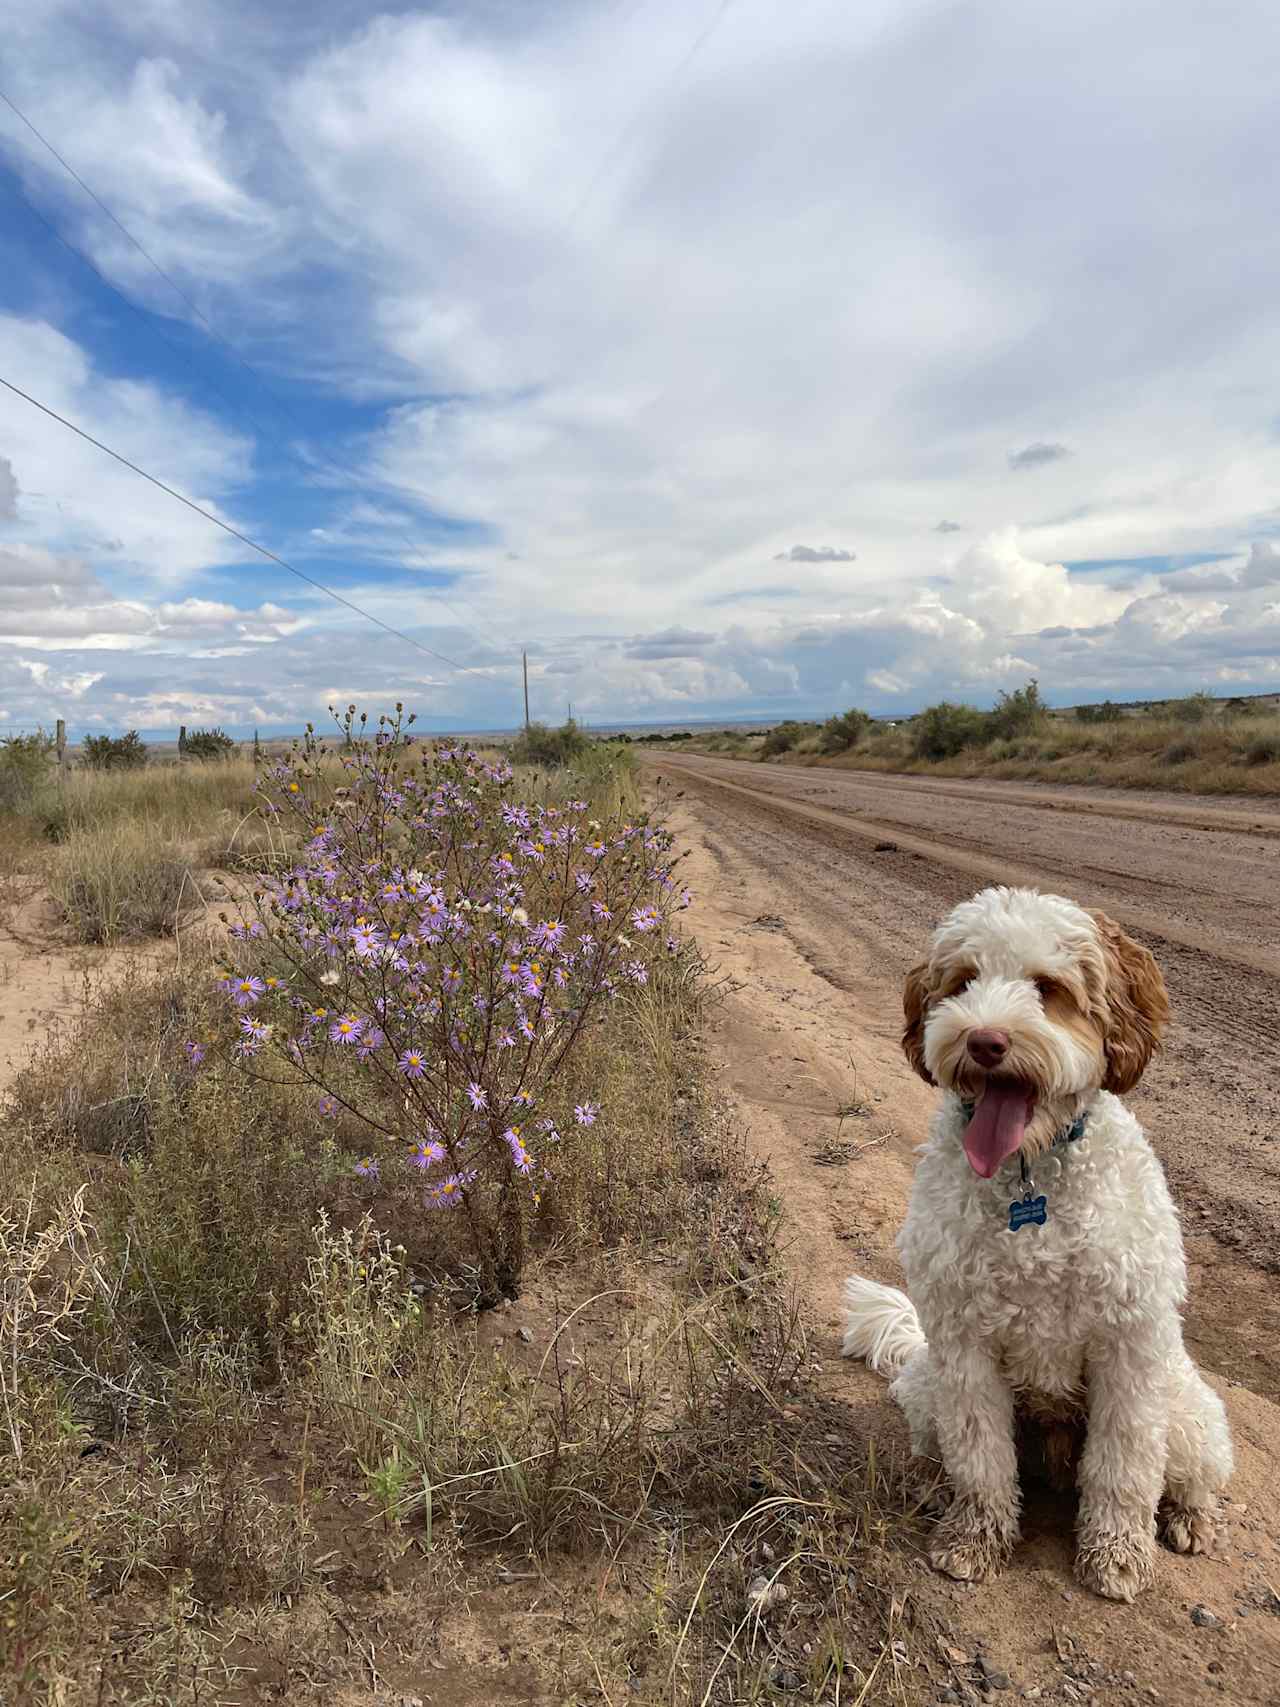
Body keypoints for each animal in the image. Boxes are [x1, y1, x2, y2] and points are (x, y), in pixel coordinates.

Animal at [843, 887, 1235, 1604]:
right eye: (962, 982)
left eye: (1049, 989)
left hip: (1189, 1412)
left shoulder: (1128, 1345)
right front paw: (974, 1539)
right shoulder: (963, 1346)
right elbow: (981, 1460)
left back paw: (1191, 1517)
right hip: (927, 1383)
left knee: (1188, 1475)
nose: (984, 1040)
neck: (1030, 1178)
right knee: (943, 1448)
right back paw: (927, 1483)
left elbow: (1123, 1467)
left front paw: (1116, 1555)